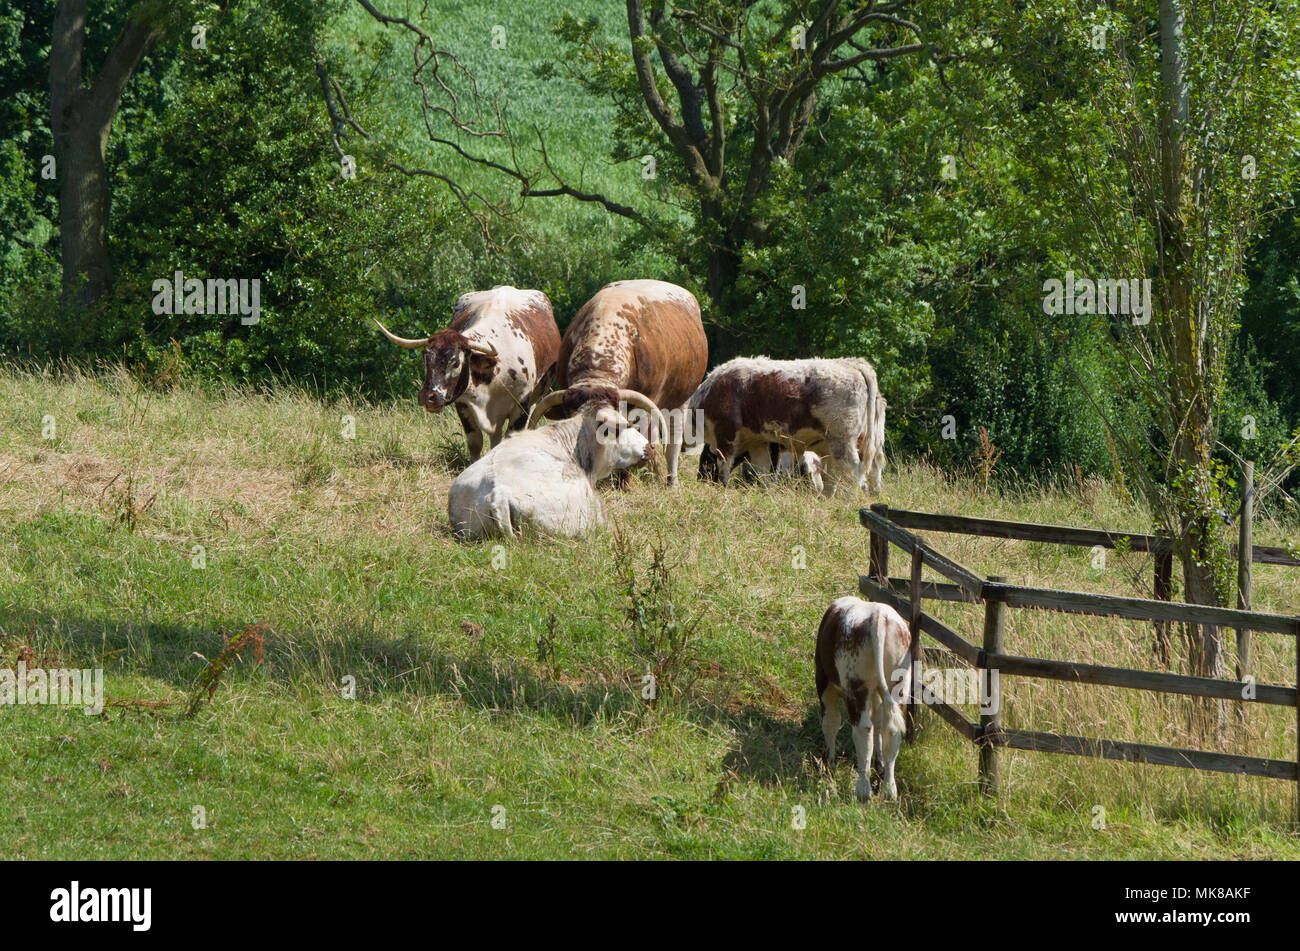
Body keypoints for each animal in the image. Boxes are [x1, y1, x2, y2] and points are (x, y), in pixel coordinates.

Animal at [374, 281, 561, 459]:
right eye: (425, 359)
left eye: (455, 362)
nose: (428, 397)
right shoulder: (463, 404)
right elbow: (475, 442)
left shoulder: (522, 407)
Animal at [691, 355, 883, 498]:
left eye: (705, 461)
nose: (700, 480)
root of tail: (853, 363)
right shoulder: (760, 443)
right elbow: (762, 471)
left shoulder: (726, 434)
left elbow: (724, 465)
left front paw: (721, 488)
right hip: (861, 442)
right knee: (867, 470)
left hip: (842, 440)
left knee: (849, 469)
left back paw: (844, 498)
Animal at [811, 597, 915, 800]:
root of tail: (879, 615)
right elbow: (879, 727)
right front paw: (879, 766)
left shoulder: (824, 682)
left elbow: (831, 722)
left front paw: (829, 764)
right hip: (898, 687)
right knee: (891, 730)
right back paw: (889, 789)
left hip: (856, 687)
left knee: (863, 729)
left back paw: (863, 790)